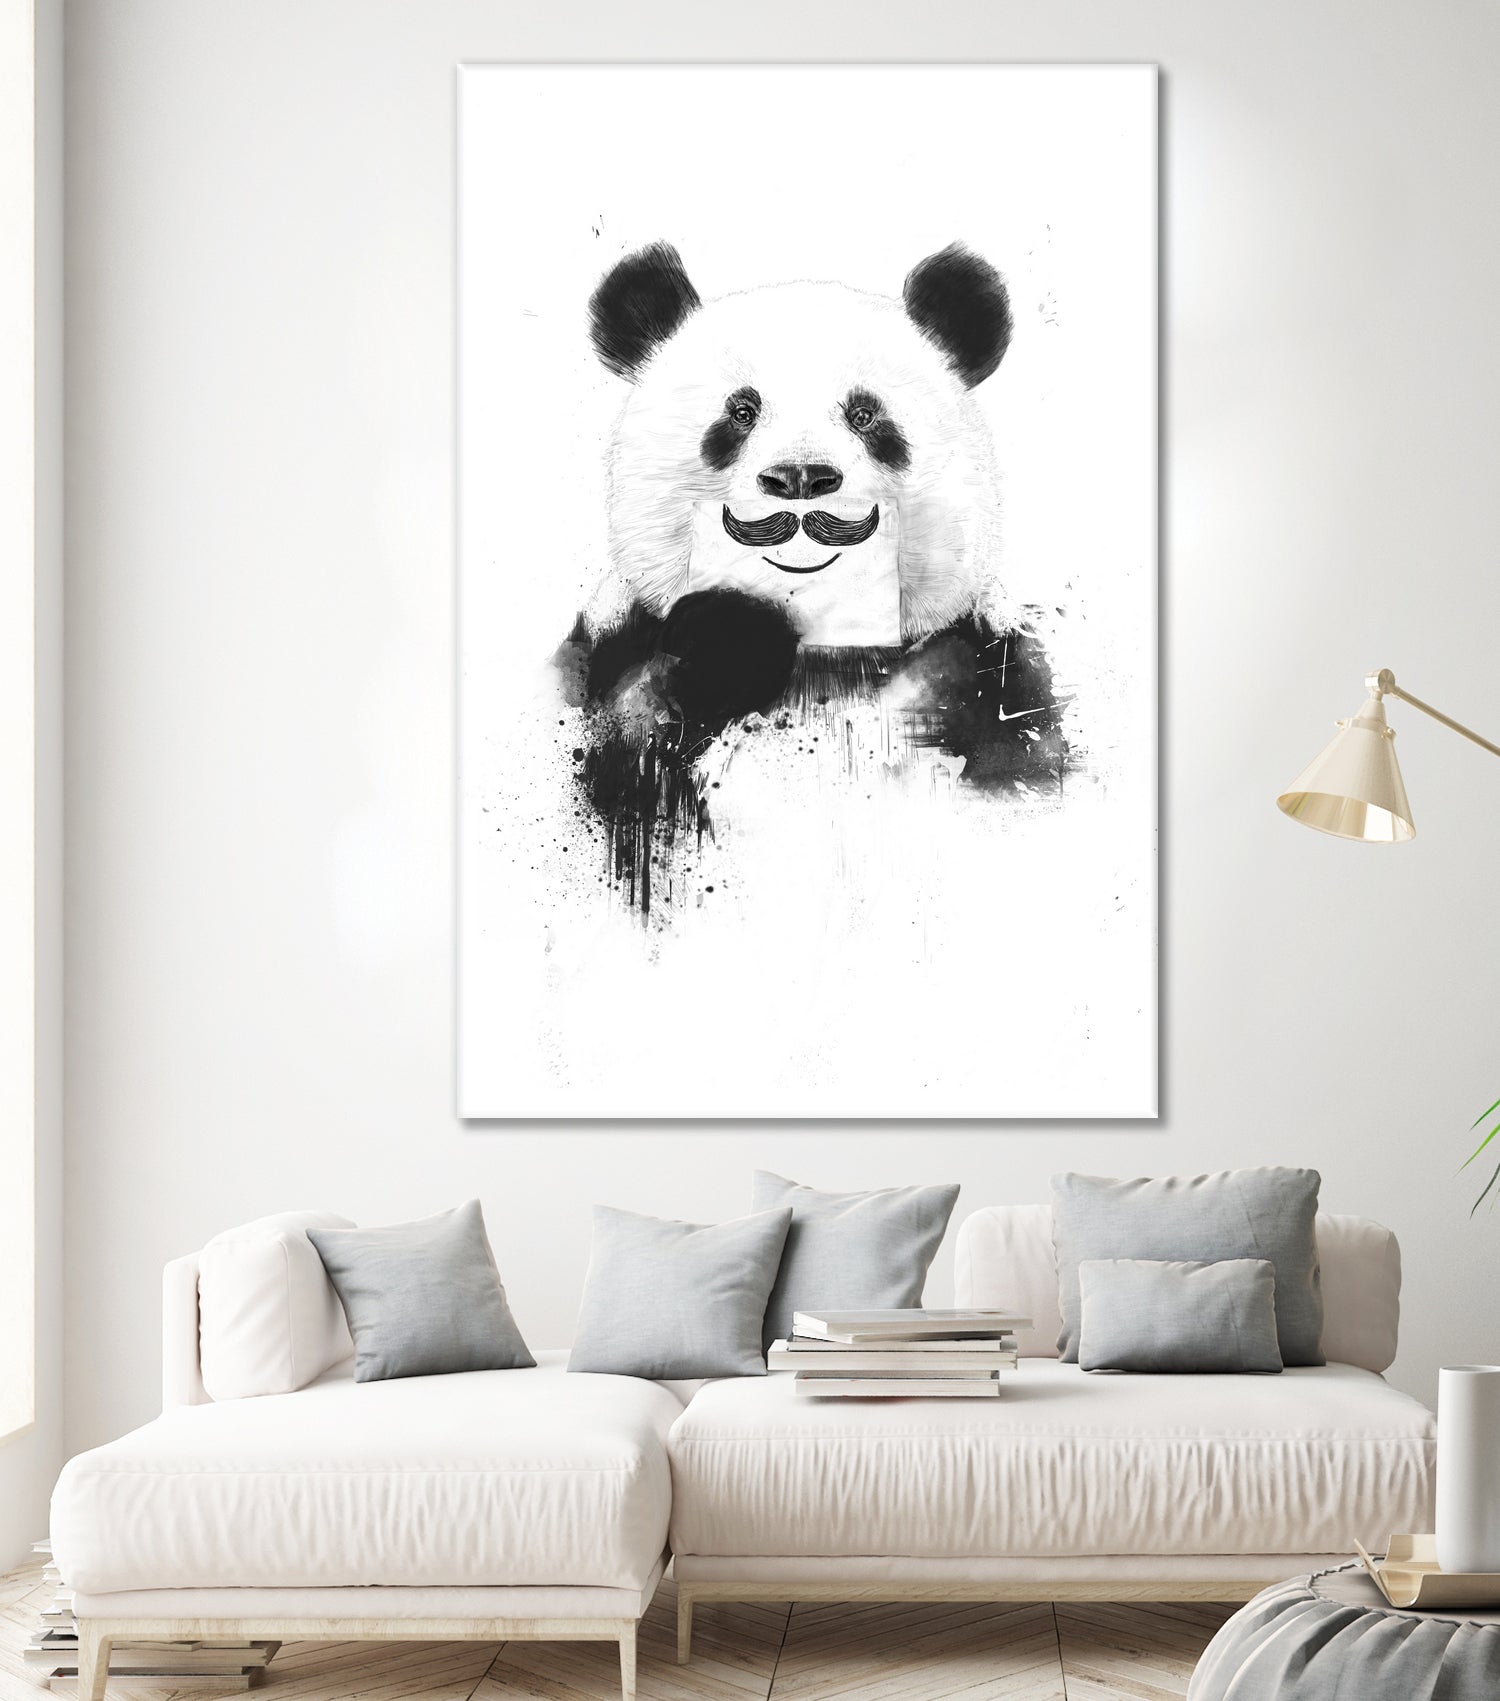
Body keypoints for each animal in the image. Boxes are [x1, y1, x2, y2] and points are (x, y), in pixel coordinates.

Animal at [553, 240, 1067, 918]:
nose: (800, 477)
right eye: (741, 412)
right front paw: (729, 638)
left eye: (865, 414)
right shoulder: (607, 658)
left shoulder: (983, 665)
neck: (821, 655)